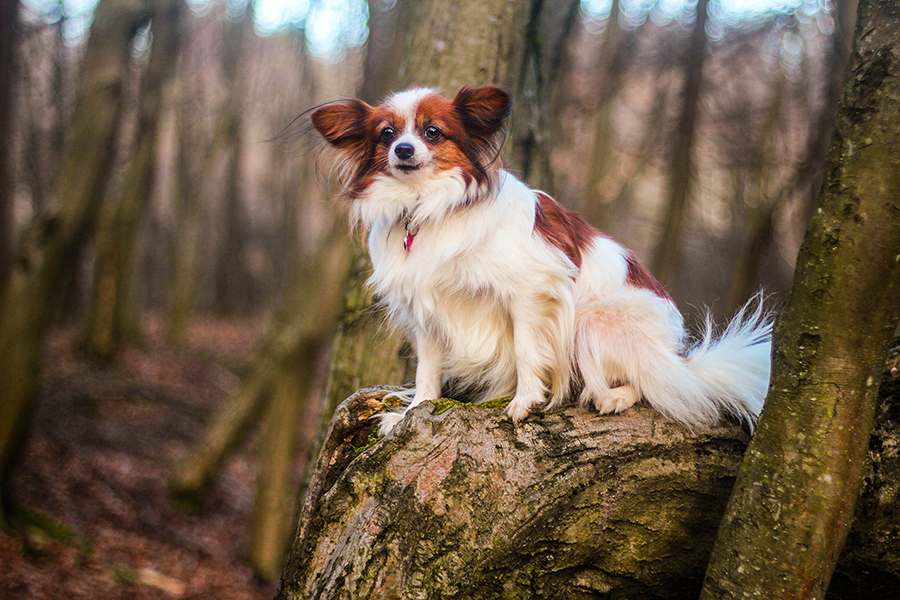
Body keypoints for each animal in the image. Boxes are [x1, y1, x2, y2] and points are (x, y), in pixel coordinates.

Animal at [312, 85, 772, 436]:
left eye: (433, 132)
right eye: (387, 134)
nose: (404, 150)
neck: (428, 206)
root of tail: (677, 354)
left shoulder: (530, 292)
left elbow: (525, 349)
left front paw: (525, 400)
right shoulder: (428, 307)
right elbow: (427, 368)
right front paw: (412, 414)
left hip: (592, 322)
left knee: (655, 384)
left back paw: (613, 397)